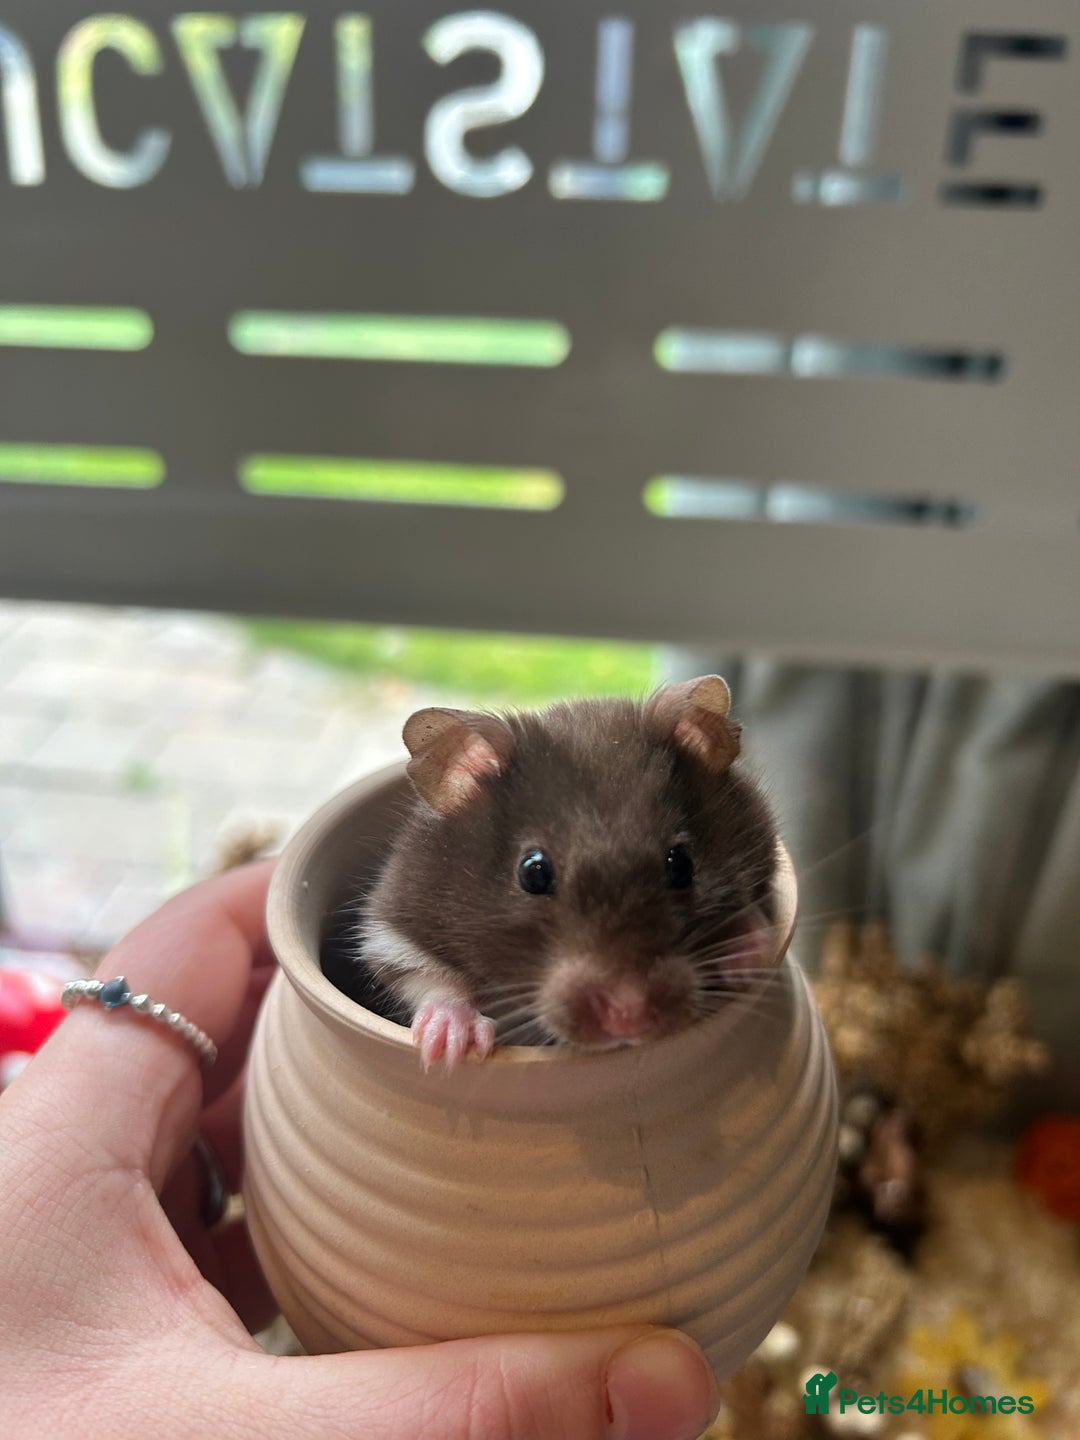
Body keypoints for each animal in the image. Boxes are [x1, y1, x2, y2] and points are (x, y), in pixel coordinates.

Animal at [358, 675, 781, 1071]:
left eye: (681, 864)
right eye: (533, 873)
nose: (629, 1020)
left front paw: (748, 960)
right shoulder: (392, 929)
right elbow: (427, 977)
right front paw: (449, 1049)